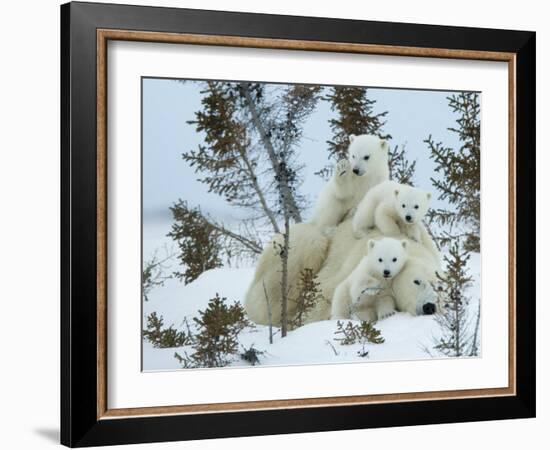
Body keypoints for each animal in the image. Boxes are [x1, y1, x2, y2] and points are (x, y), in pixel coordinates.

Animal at [244, 133, 390, 324]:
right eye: (353, 155)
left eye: (367, 156)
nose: (356, 169)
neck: (365, 179)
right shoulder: (351, 186)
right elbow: (342, 192)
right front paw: (342, 170)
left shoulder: (375, 183)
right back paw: (329, 230)